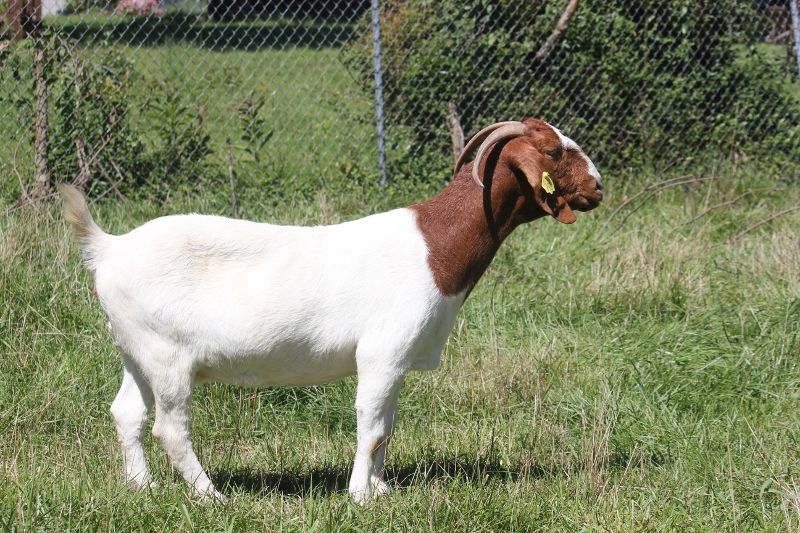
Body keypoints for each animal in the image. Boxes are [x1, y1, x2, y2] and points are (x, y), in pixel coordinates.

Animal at [61, 117, 600, 502]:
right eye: (554, 151)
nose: (597, 187)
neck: (435, 247)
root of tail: (109, 248)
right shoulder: (383, 352)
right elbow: (370, 424)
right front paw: (359, 496)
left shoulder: (398, 362)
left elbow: (387, 427)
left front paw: (382, 488)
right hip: (166, 356)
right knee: (170, 428)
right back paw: (211, 496)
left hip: (136, 350)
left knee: (126, 413)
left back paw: (143, 486)